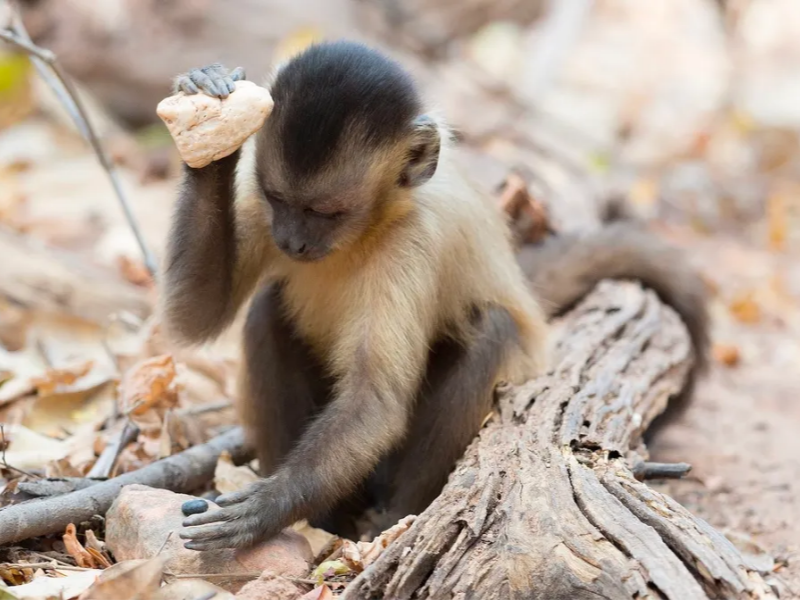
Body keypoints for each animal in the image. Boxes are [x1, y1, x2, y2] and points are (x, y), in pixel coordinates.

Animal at [159, 40, 709, 550]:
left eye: (326, 212)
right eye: (280, 200)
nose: (291, 242)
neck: (372, 226)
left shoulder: (413, 242)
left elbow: (375, 402)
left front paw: (267, 508)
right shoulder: (259, 208)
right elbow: (196, 317)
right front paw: (209, 125)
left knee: (491, 328)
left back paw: (391, 518)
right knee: (267, 311)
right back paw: (328, 521)